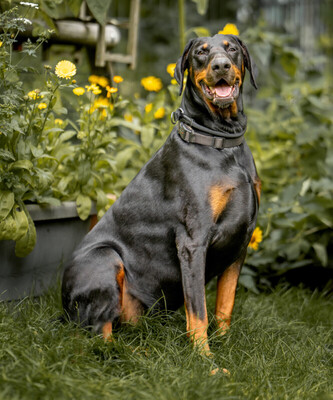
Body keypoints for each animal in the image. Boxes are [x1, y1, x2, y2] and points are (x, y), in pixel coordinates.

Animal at [61, 32, 260, 354]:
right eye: (201, 53)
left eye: (231, 49)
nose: (221, 65)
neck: (222, 143)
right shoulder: (192, 242)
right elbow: (199, 311)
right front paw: (205, 359)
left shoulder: (241, 239)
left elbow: (224, 306)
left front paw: (224, 344)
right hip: (105, 259)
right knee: (96, 332)